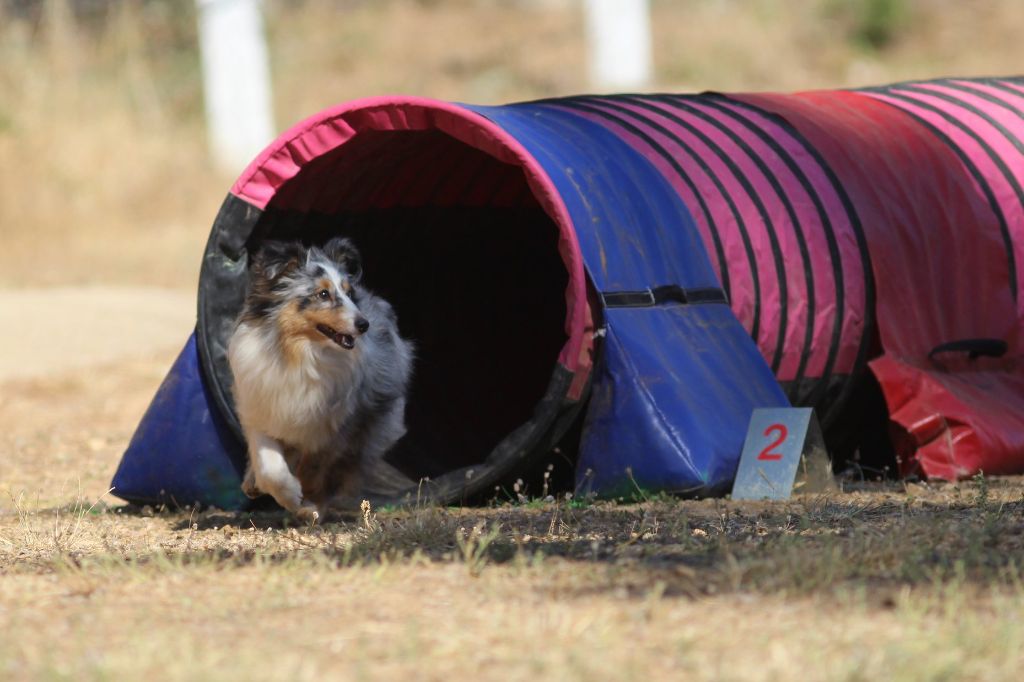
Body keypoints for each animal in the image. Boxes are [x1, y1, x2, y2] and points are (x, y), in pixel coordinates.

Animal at [227, 236, 411, 518]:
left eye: (348, 293)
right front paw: (289, 494)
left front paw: (308, 504)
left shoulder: (337, 425)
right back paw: (253, 484)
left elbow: (315, 467)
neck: (302, 354)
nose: (363, 324)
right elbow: (268, 462)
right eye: (323, 294)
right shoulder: (262, 403)